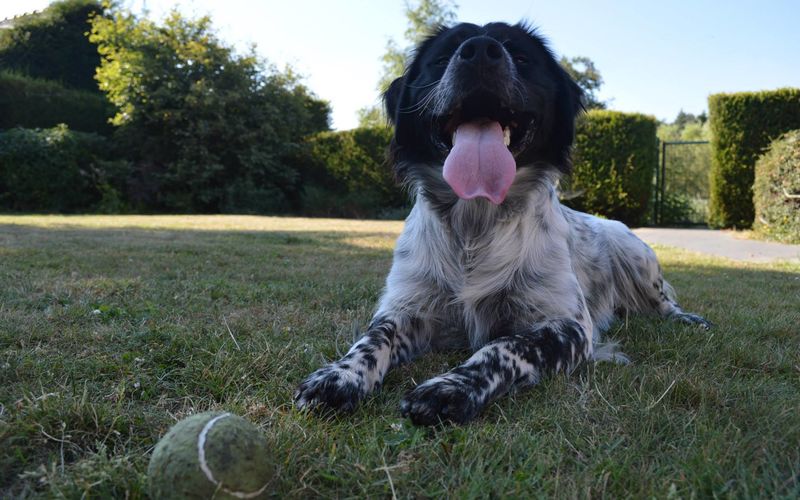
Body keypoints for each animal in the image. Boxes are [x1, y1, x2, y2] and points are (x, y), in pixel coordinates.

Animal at [296, 22, 712, 426]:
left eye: (522, 56)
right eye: (442, 57)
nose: (480, 51)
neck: (476, 224)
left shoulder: (570, 326)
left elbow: (505, 347)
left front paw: (451, 387)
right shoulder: (406, 306)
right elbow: (372, 338)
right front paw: (339, 375)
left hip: (635, 252)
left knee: (663, 302)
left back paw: (688, 319)